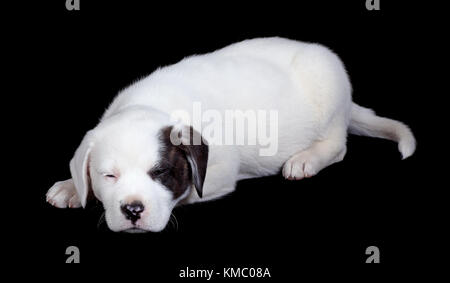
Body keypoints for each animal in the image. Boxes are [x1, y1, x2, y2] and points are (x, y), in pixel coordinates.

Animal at [44, 37, 414, 233]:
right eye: (109, 176)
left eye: (161, 173)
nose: (133, 209)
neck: (151, 104)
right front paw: (72, 187)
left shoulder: (220, 172)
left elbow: (189, 192)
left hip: (329, 97)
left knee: (338, 146)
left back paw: (306, 159)